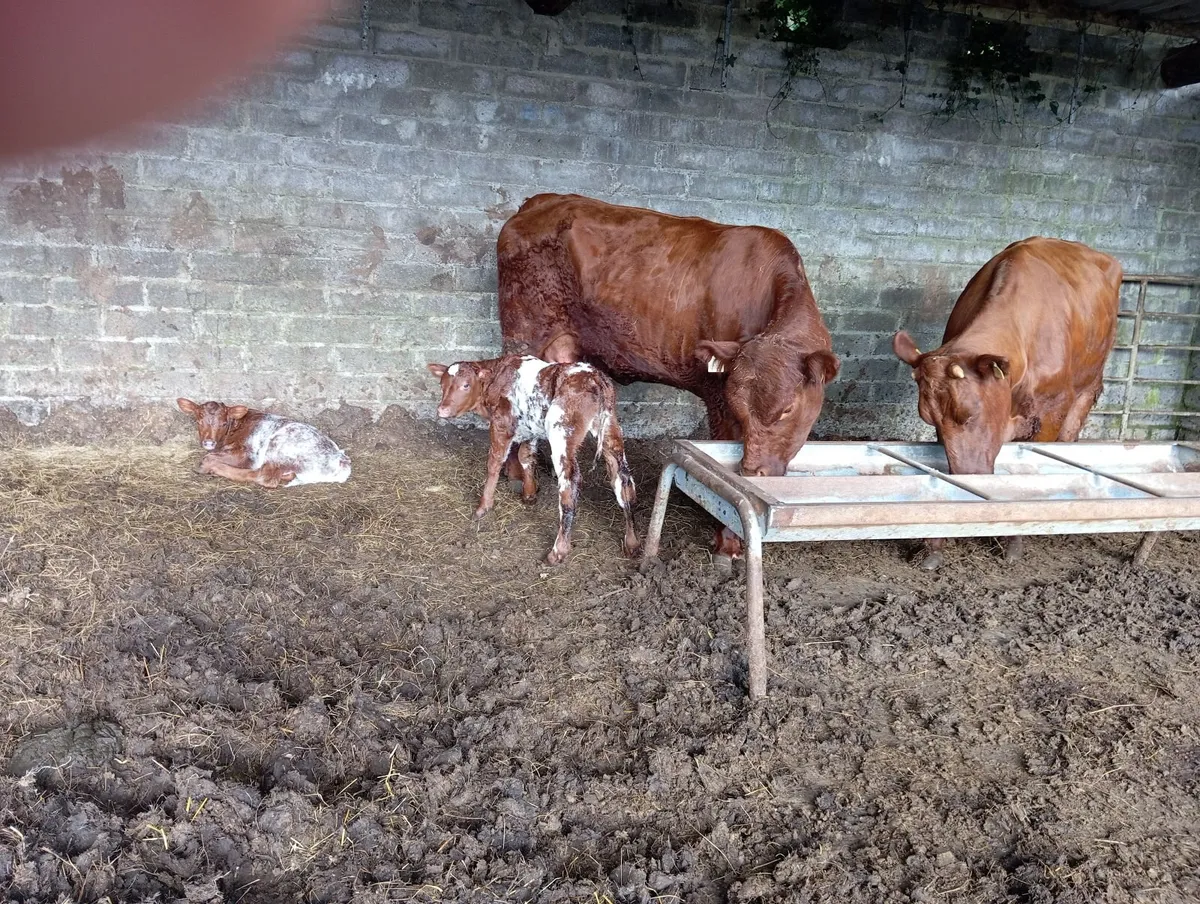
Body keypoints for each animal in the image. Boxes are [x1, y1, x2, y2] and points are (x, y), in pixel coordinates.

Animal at [176, 398, 352, 488]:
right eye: (198, 421)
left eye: (224, 423)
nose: (208, 442)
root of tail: (341, 460)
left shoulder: (248, 454)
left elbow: (209, 457)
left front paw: (204, 465)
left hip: (278, 446)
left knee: (264, 477)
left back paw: (215, 468)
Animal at [427, 354, 639, 565]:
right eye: (442, 385)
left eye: (466, 385)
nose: (442, 410)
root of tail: (595, 377)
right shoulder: (530, 431)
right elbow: (526, 456)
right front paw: (529, 493)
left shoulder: (501, 426)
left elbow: (494, 463)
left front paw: (483, 506)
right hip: (610, 430)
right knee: (623, 480)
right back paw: (632, 543)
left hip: (561, 433)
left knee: (570, 483)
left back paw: (558, 551)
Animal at [497, 192, 839, 558]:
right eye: (740, 407)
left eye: (787, 409)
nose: (752, 471)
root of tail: (541, 201)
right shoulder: (717, 394)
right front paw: (728, 537)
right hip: (521, 333)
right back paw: (516, 474)